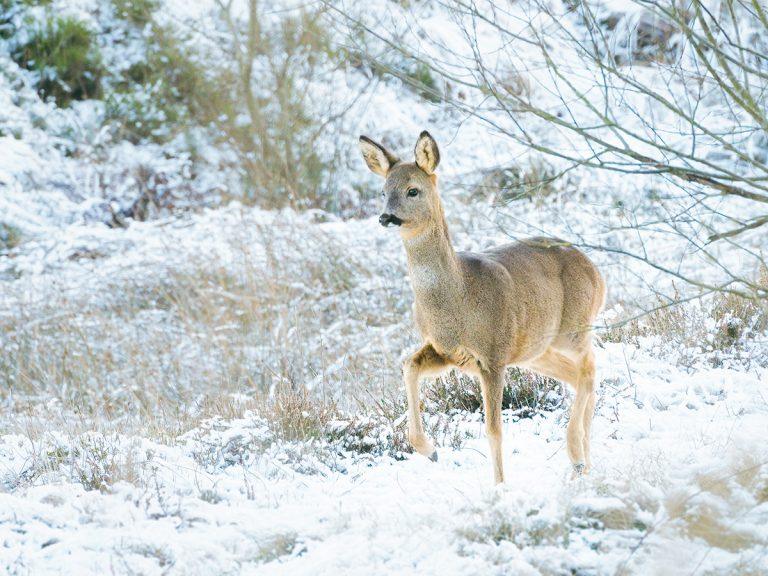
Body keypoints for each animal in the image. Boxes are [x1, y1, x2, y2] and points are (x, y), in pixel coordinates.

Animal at [359, 131, 606, 484]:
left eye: (412, 190)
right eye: (383, 191)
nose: (386, 217)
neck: (457, 299)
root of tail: (596, 271)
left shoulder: (493, 354)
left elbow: (494, 430)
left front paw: (500, 488)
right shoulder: (447, 350)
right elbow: (409, 365)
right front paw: (430, 450)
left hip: (574, 328)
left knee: (589, 369)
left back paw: (577, 455)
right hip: (535, 350)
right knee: (580, 375)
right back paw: (583, 462)